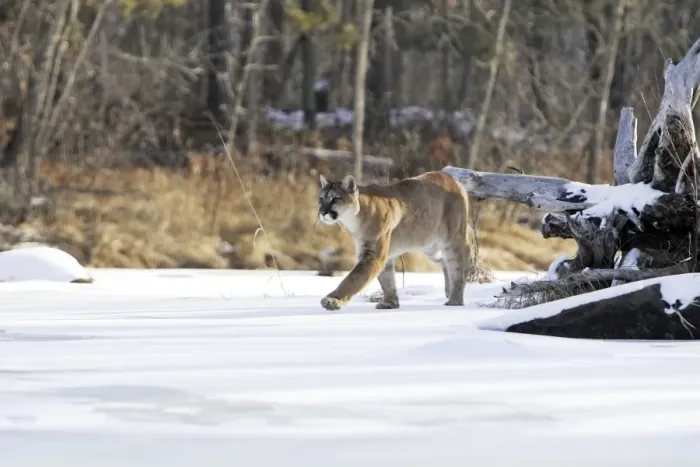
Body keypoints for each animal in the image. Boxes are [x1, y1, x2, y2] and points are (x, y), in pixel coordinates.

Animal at [317, 171, 476, 311]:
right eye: (321, 199)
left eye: (335, 199)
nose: (322, 213)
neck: (354, 219)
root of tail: (453, 180)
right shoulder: (382, 256)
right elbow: (387, 280)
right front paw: (391, 303)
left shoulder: (373, 255)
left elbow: (353, 279)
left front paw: (332, 300)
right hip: (431, 247)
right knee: (445, 262)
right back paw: (448, 291)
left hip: (452, 240)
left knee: (458, 267)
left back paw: (455, 300)